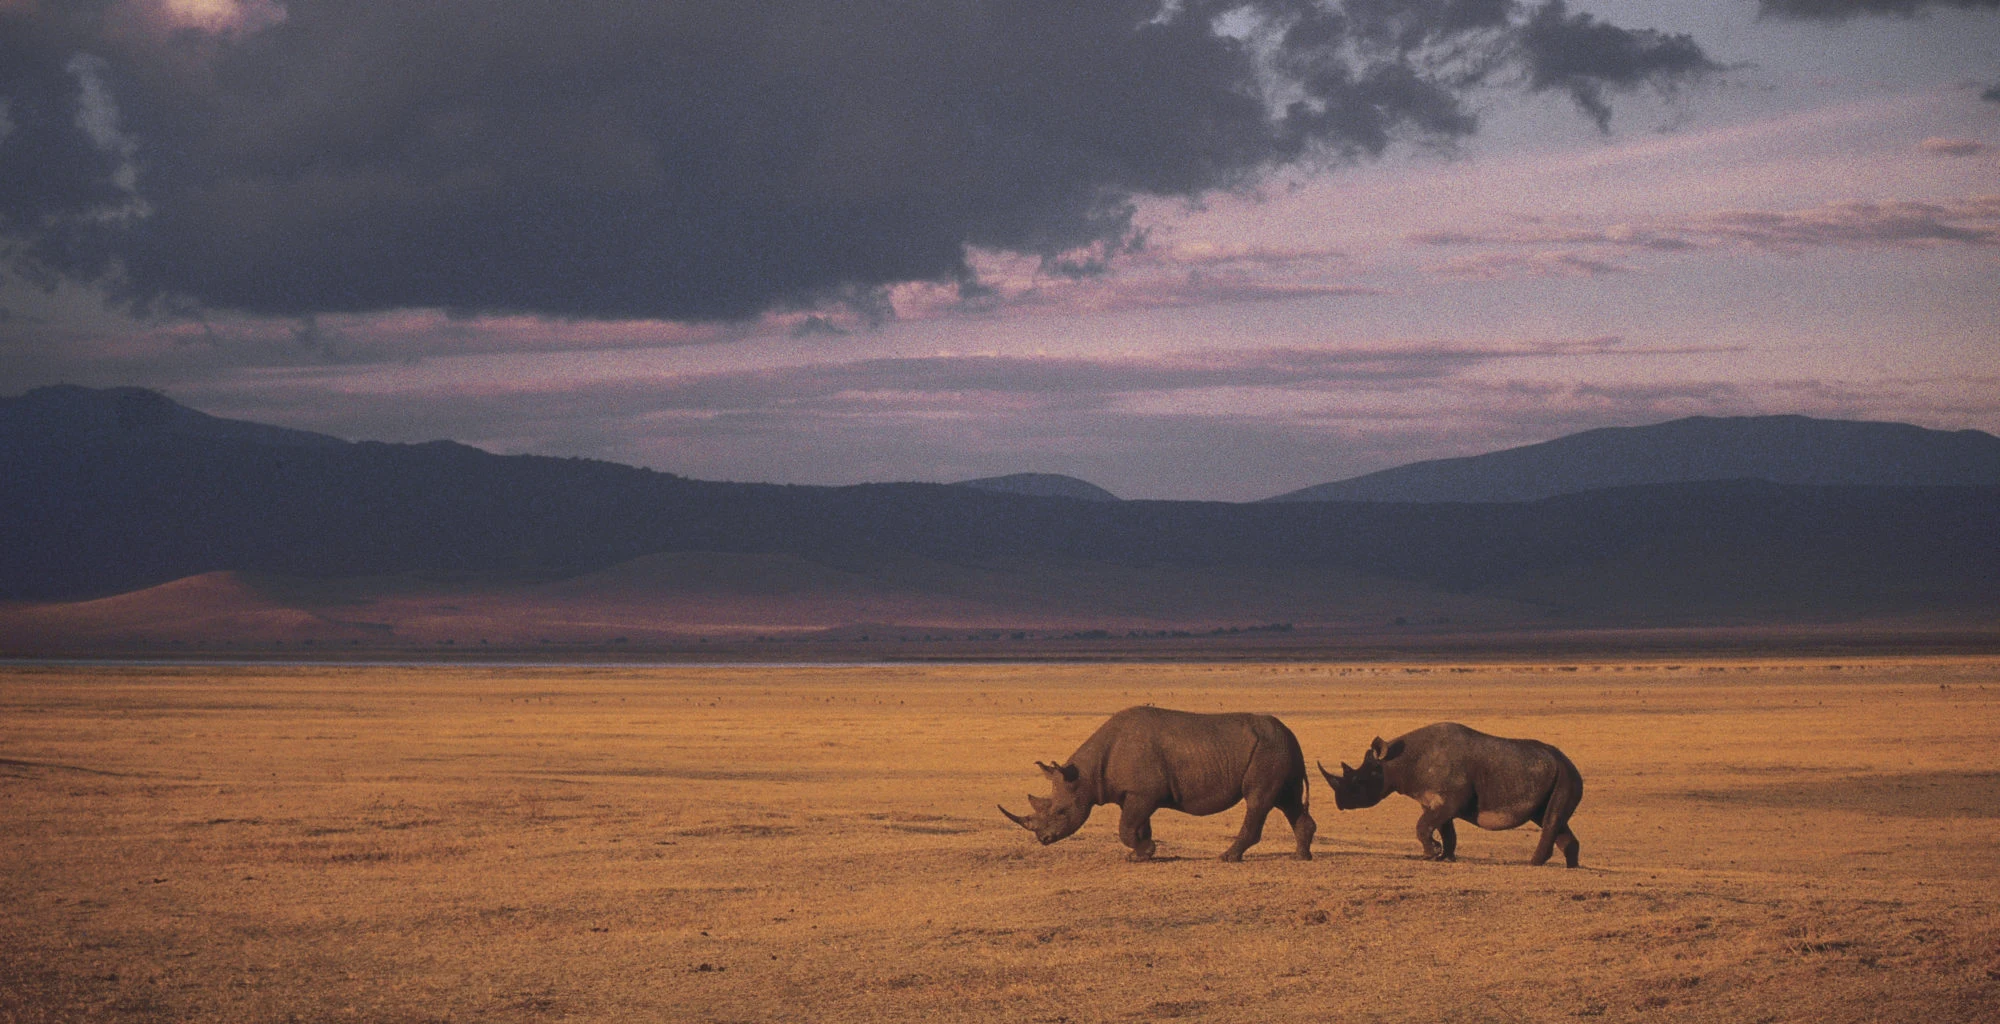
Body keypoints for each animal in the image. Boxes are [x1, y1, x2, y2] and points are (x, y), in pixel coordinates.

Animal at [999, 706, 1315, 862]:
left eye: (1061, 812)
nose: (1043, 840)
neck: (1085, 775)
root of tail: (1290, 733)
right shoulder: (1136, 793)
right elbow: (1137, 825)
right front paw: (1141, 855)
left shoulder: (1143, 792)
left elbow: (1126, 828)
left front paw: (1146, 851)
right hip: (1279, 748)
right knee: (1287, 800)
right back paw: (1300, 857)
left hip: (1269, 750)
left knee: (1258, 801)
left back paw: (1228, 858)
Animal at [1320, 722, 1583, 867]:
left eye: (1357, 782)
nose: (1339, 803)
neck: (1394, 763)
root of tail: (1568, 762)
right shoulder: (1434, 800)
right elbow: (1444, 828)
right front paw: (1443, 856)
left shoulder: (1450, 798)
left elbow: (1423, 825)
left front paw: (1432, 853)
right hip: (1556, 774)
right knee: (1551, 819)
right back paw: (1572, 866)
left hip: (1566, 775)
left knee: (1550, 819)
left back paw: (1533, 863)